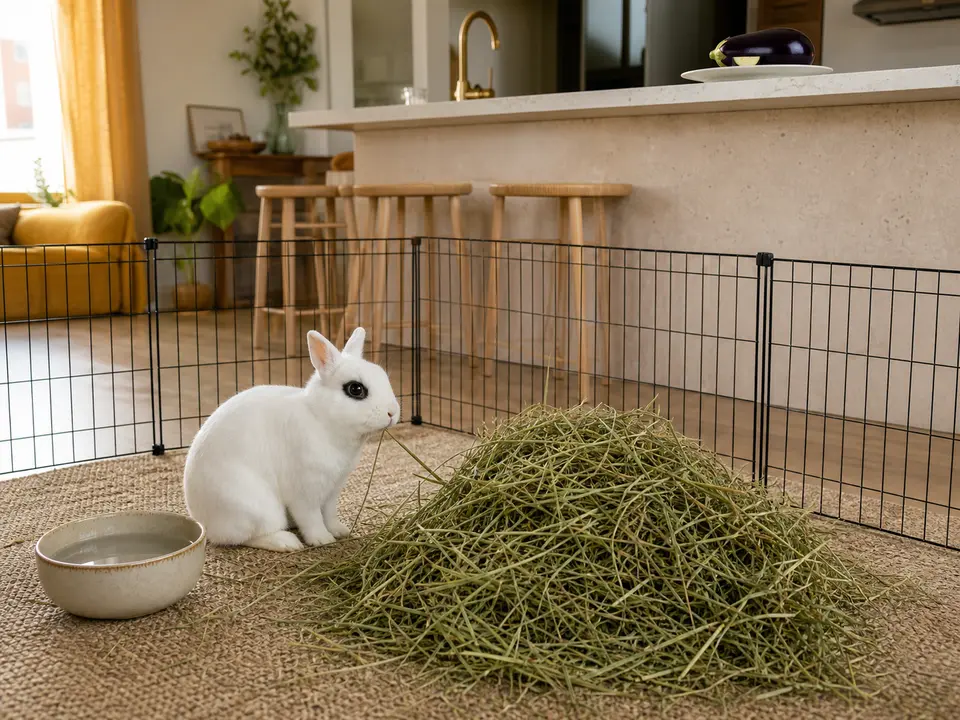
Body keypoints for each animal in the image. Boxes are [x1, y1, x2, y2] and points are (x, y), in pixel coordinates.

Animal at [183, 327, 400, 552]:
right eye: (356, 389)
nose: (392, 412)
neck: (321, 419)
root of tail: (202, 519)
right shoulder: (304, 491)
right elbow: (311, 518)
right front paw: (323, 539)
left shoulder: (332, 490)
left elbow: (329, 514)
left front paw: (340, 531)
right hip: (256, 508)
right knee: (244, 537)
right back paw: (287, 542)